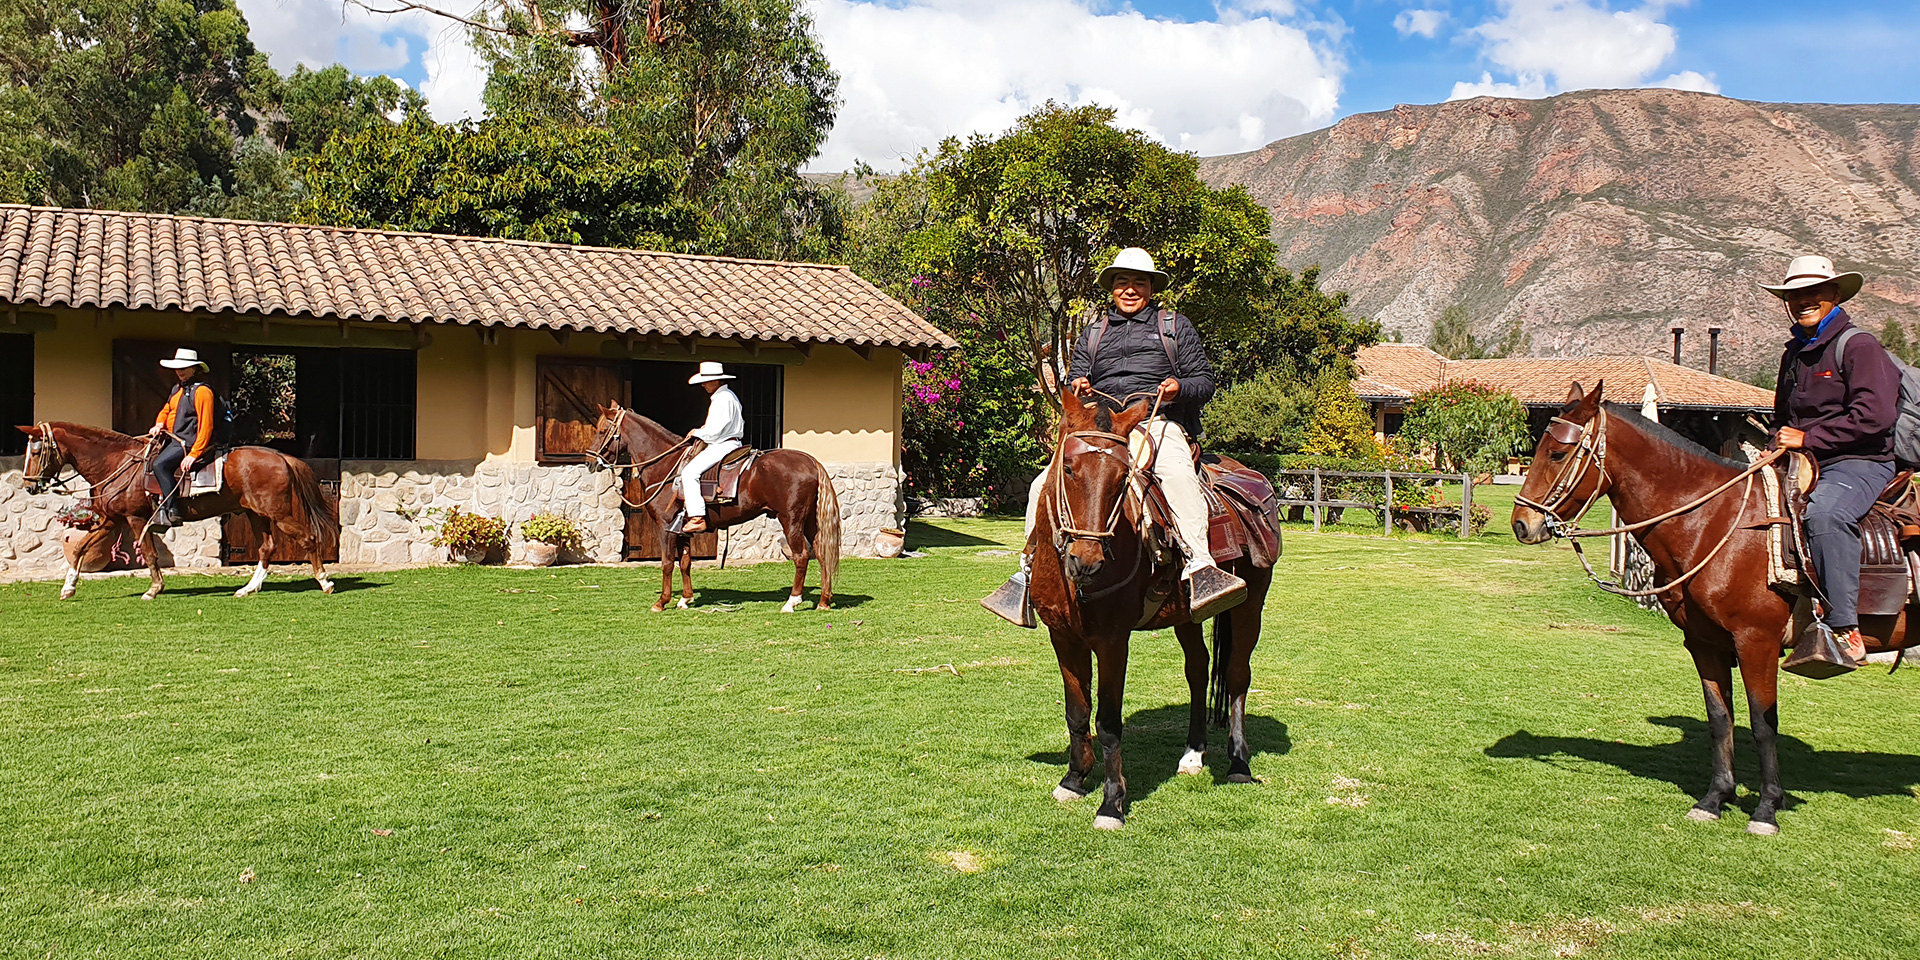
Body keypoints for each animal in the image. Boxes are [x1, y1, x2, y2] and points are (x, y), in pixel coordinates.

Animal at [16, 422, 339, 599]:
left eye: (36, 450)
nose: (29, 486)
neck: (116, 462)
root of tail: (281, 457)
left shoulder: (135, 519)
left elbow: (149, 553)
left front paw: (154, 589)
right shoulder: (110, 520)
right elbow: (81, 548)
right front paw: (68, 588)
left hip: (279, 514)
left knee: (308, 538)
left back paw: (325, 581)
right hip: (256, 514)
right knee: (267, 549)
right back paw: (249, 588)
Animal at [583, 405, 840, 614]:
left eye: (601, 430)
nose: (589, 462)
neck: (667, 466)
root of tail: (811, 461)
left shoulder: (666, 527)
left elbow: (667, 563)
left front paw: (661, 602)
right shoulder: (681, 529)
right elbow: (685, 562)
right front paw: (685, 599)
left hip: (791, 520)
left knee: (802, 556)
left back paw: (791, 602)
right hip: (810, 522)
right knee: (821, 552)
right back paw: (823, 601)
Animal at [1036, 393, 1274, 829]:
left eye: (1122, 476)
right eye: (1068, 467)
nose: (1087, 560)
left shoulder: (1113, 640)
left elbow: (1108, 723)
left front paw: (1111, 804)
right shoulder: (1062, 635)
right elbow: (1077, 712)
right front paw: (1074, 780)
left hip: (1251, 605)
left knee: (1236, 675)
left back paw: (1238, 763)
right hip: (1188, 615)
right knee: (1198, 668)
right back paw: (1193, 754)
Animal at [1512, 382, 1920, 833]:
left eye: (1557, 454)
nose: (1522, 523)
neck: (1715, 523)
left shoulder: (1756, 641)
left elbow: (1763, 722)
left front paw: (1767, 808)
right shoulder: (1705, 643)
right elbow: (1720, 718)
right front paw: (1715, 798)